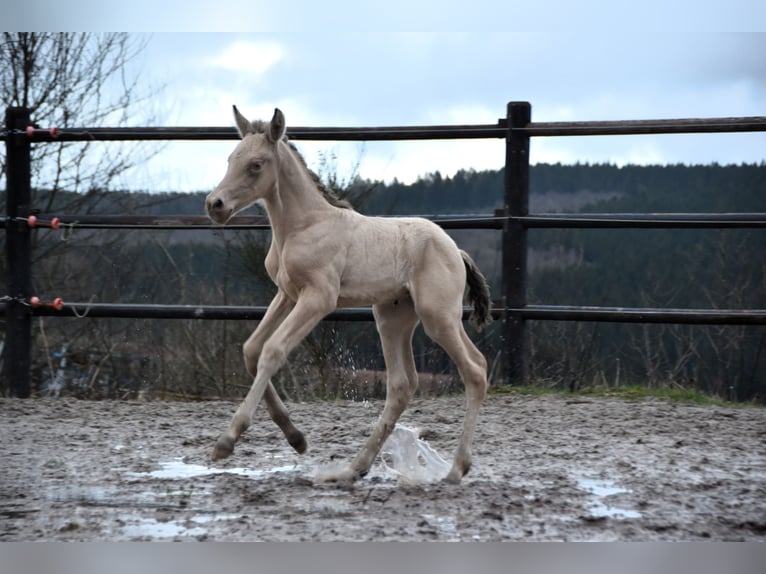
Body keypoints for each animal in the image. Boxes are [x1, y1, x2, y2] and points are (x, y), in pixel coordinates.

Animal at [206, 106, 492, 484]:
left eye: (256, 164)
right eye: (230, 158)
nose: (215, 204)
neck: (302, 225)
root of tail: (456, 250)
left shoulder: (319, 298)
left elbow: (272, 350)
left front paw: (227, 440)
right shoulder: (287, 294)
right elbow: (251, 349)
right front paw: (296, 437)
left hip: (438, 317)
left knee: (474, 370)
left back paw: (456, 469)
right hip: (393, 318)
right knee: (403, 384)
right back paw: (355, 467)